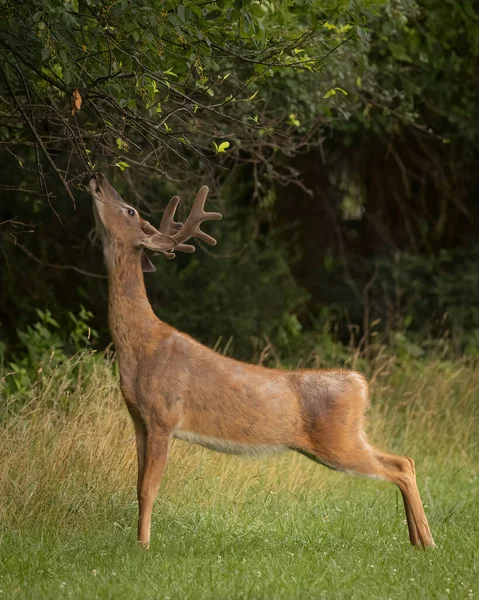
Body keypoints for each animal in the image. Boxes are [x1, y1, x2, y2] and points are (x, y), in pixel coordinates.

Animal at [89, 172, 436, 548]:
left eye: (130, 210)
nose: (97, 177)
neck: (141, 344)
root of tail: (359, 383)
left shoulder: (163, 416)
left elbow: (149, 490)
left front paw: (143, 546)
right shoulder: (139, 419)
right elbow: (138, 487)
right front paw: (138, 542)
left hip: (339, 442)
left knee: (400, 466)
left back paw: (427, 541)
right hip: (345, 438)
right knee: (405, 460)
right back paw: (419, 540)